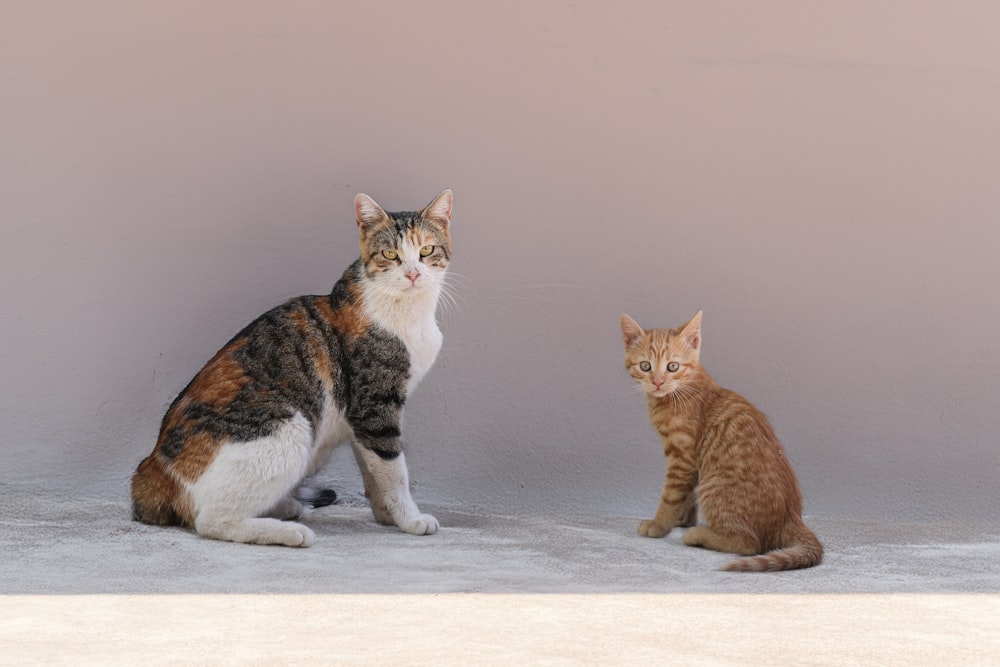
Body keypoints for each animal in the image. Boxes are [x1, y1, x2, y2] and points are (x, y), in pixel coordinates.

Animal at [130, 188, 454, 548]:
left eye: (426, 250)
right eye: (390, 254)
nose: (413, 273)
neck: (409, 311)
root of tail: (153, 468)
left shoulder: (359, 415)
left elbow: (372, 468)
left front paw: (387, 516)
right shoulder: (375, 405)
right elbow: (394, 468)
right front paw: (410, 518)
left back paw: (286, 507)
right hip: (292, 425)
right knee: (210, 521)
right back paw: (288, 532)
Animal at [620, 310, 824, 572]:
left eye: (672, 366)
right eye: (645, 366)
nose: (657, 382)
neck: (679, 391)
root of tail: (791, 518)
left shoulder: (682, 458)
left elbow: (670, 495)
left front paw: (659, 524)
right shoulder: (692, 467)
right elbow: (686, 496)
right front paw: (682, 519)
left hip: (714, 486)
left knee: (750, 543)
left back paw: (698, 535)